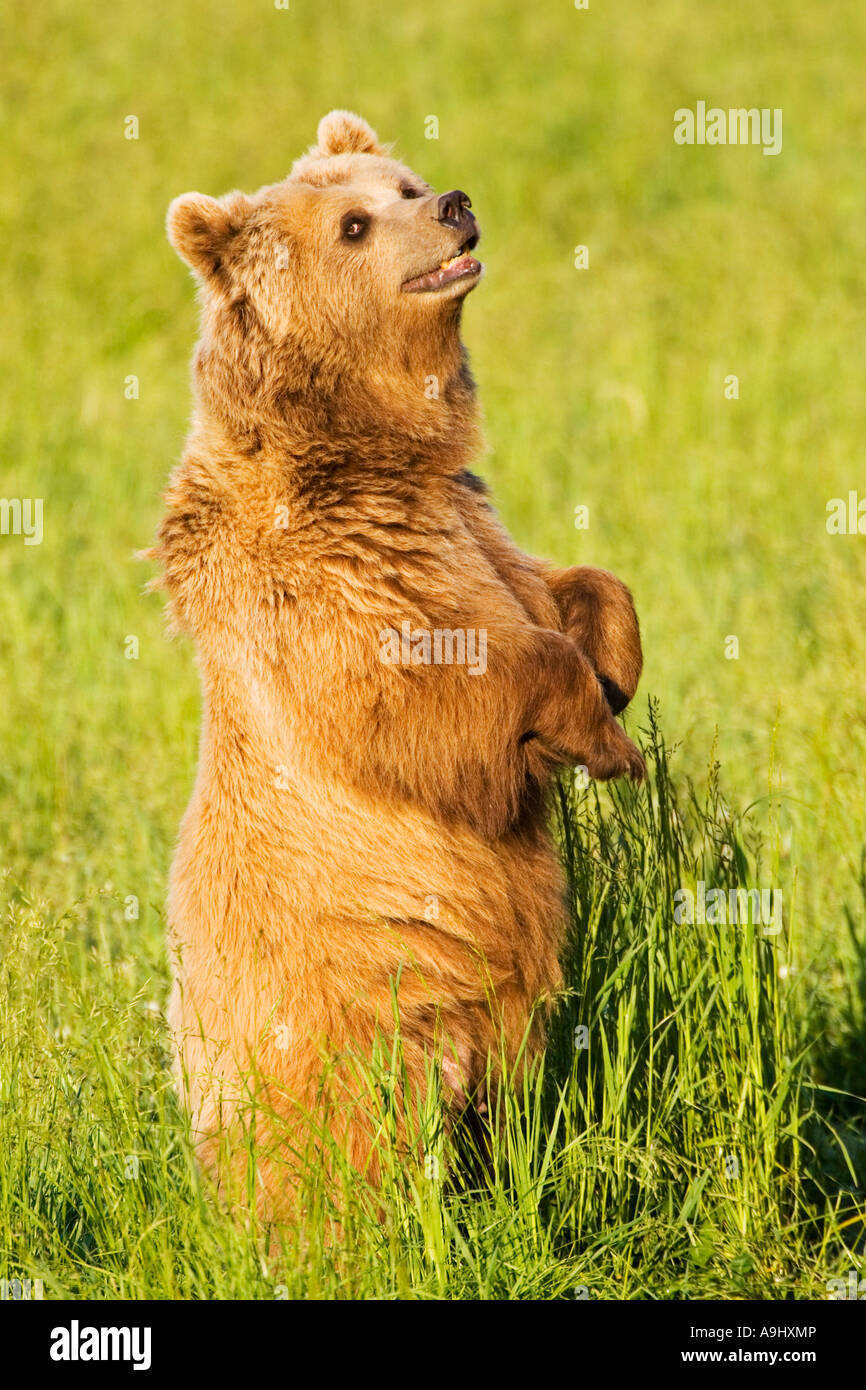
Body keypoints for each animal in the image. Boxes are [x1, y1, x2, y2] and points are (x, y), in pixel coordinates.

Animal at [150, 110, 644, 1217]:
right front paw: (604, 740)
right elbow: (420, 685)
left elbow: (562, 585)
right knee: (341, 1154)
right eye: (353, 224)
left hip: (491, 1030)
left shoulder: (463, 515)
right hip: (338, 1020)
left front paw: (619, 667)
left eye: (405, 185)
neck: (371, 449)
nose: (454, 205)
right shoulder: (323, 582)